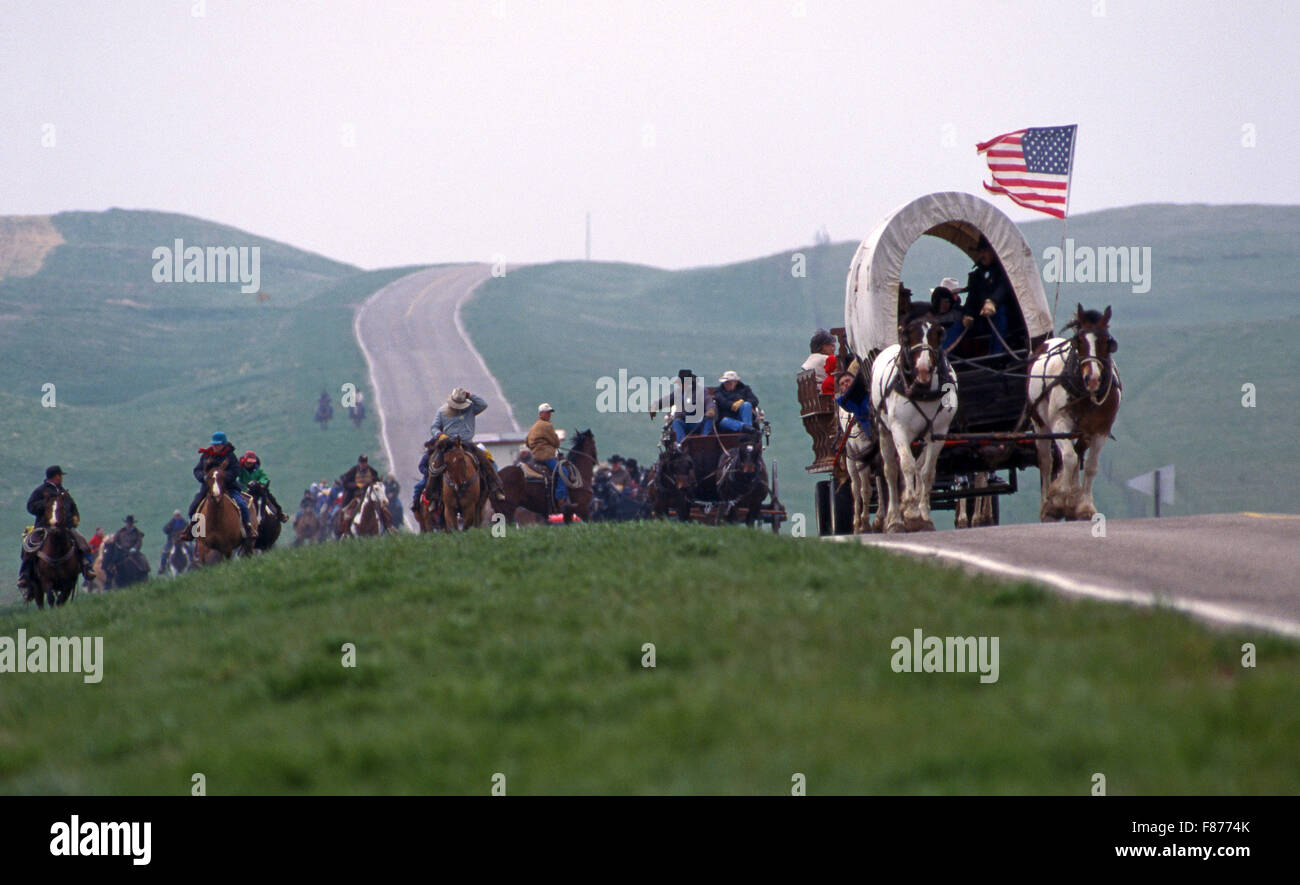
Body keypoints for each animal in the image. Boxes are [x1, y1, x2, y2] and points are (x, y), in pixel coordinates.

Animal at [868, 317, 961, 532]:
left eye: (936, 336)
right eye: (909, 337)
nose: (924, 369)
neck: (922, 390)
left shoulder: (939, 433)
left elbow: (927, 472)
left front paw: (923, 515)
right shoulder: (899, 430)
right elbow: (906, 466)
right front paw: (909, 512)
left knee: (919, 467)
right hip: (884, 431)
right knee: (890, 470)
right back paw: (894, 517)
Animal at [1029, 305, 1123, 522]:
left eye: (1106, 341)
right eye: (1079, 341)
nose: (1093, 379)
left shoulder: (1100, 430)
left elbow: (1090, 466)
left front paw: (1084, 506)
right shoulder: (1060, 423)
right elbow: (1068, 458)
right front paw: (1057, 500)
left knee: (1077, 453)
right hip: (1041, 425)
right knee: (1047, 461)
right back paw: (1047, 504)